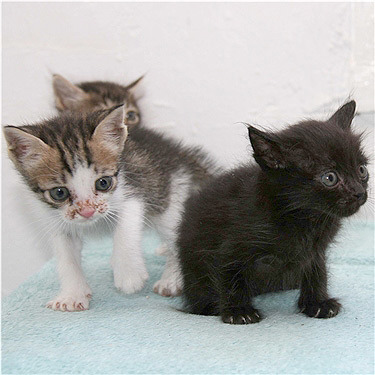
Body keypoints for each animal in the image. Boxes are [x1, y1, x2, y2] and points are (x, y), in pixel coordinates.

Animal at [4, 106, 219, 312]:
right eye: (59, 193)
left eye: (103, 183)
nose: (87, 211)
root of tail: (183, 155)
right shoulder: (55, 219)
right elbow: (66, 257)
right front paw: (71, 296)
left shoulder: (136, 186)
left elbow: (126, 224)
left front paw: (128, 272)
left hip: (169, 197)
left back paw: (171, 280)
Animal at [178, 101, 368, 324]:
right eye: (329, 178)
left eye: (362, 170)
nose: (359, 192)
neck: (303, 218)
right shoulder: (228, 248)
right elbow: (230, 276)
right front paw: (238, 311)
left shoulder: (315, 251)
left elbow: (317, 273)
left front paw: (317, 303)